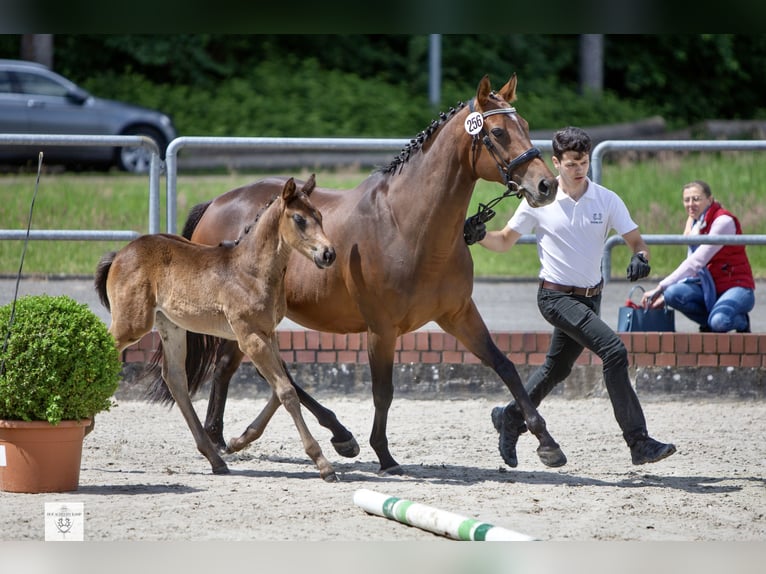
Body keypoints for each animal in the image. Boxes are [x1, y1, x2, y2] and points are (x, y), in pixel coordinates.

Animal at [94, 175, 342, 481]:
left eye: (319, 215)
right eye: (299, 219)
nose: (328, 254)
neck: (251, 271)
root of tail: (120, 253)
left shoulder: (268, 333)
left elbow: (280, 388)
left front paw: (238, 441)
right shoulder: (249, 336)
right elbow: (286, 391)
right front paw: (323, 463)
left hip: (170, 326)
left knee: (175, 378)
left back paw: (215, 459)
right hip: (132, 324)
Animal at [168, 73, 567, 475]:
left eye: (527, 126)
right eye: (498, 132)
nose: (546, 185)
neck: (407, 224)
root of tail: (216, 204)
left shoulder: (458, 314)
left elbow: (504, 365)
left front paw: (547, 444)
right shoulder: (381, 329)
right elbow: (383, 391)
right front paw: (385, 456)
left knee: (234, 368)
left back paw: (228, 438)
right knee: (260, 371)